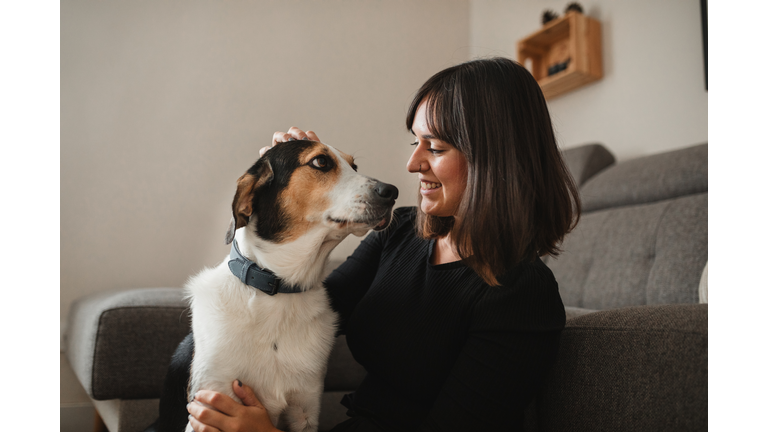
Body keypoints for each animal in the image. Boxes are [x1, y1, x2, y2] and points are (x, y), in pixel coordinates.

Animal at [144, 140, 400, 430]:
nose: (392, 192)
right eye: (321, 162)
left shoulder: (305, 410)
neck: (279, 291)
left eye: (354, 166)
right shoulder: (206, 407)